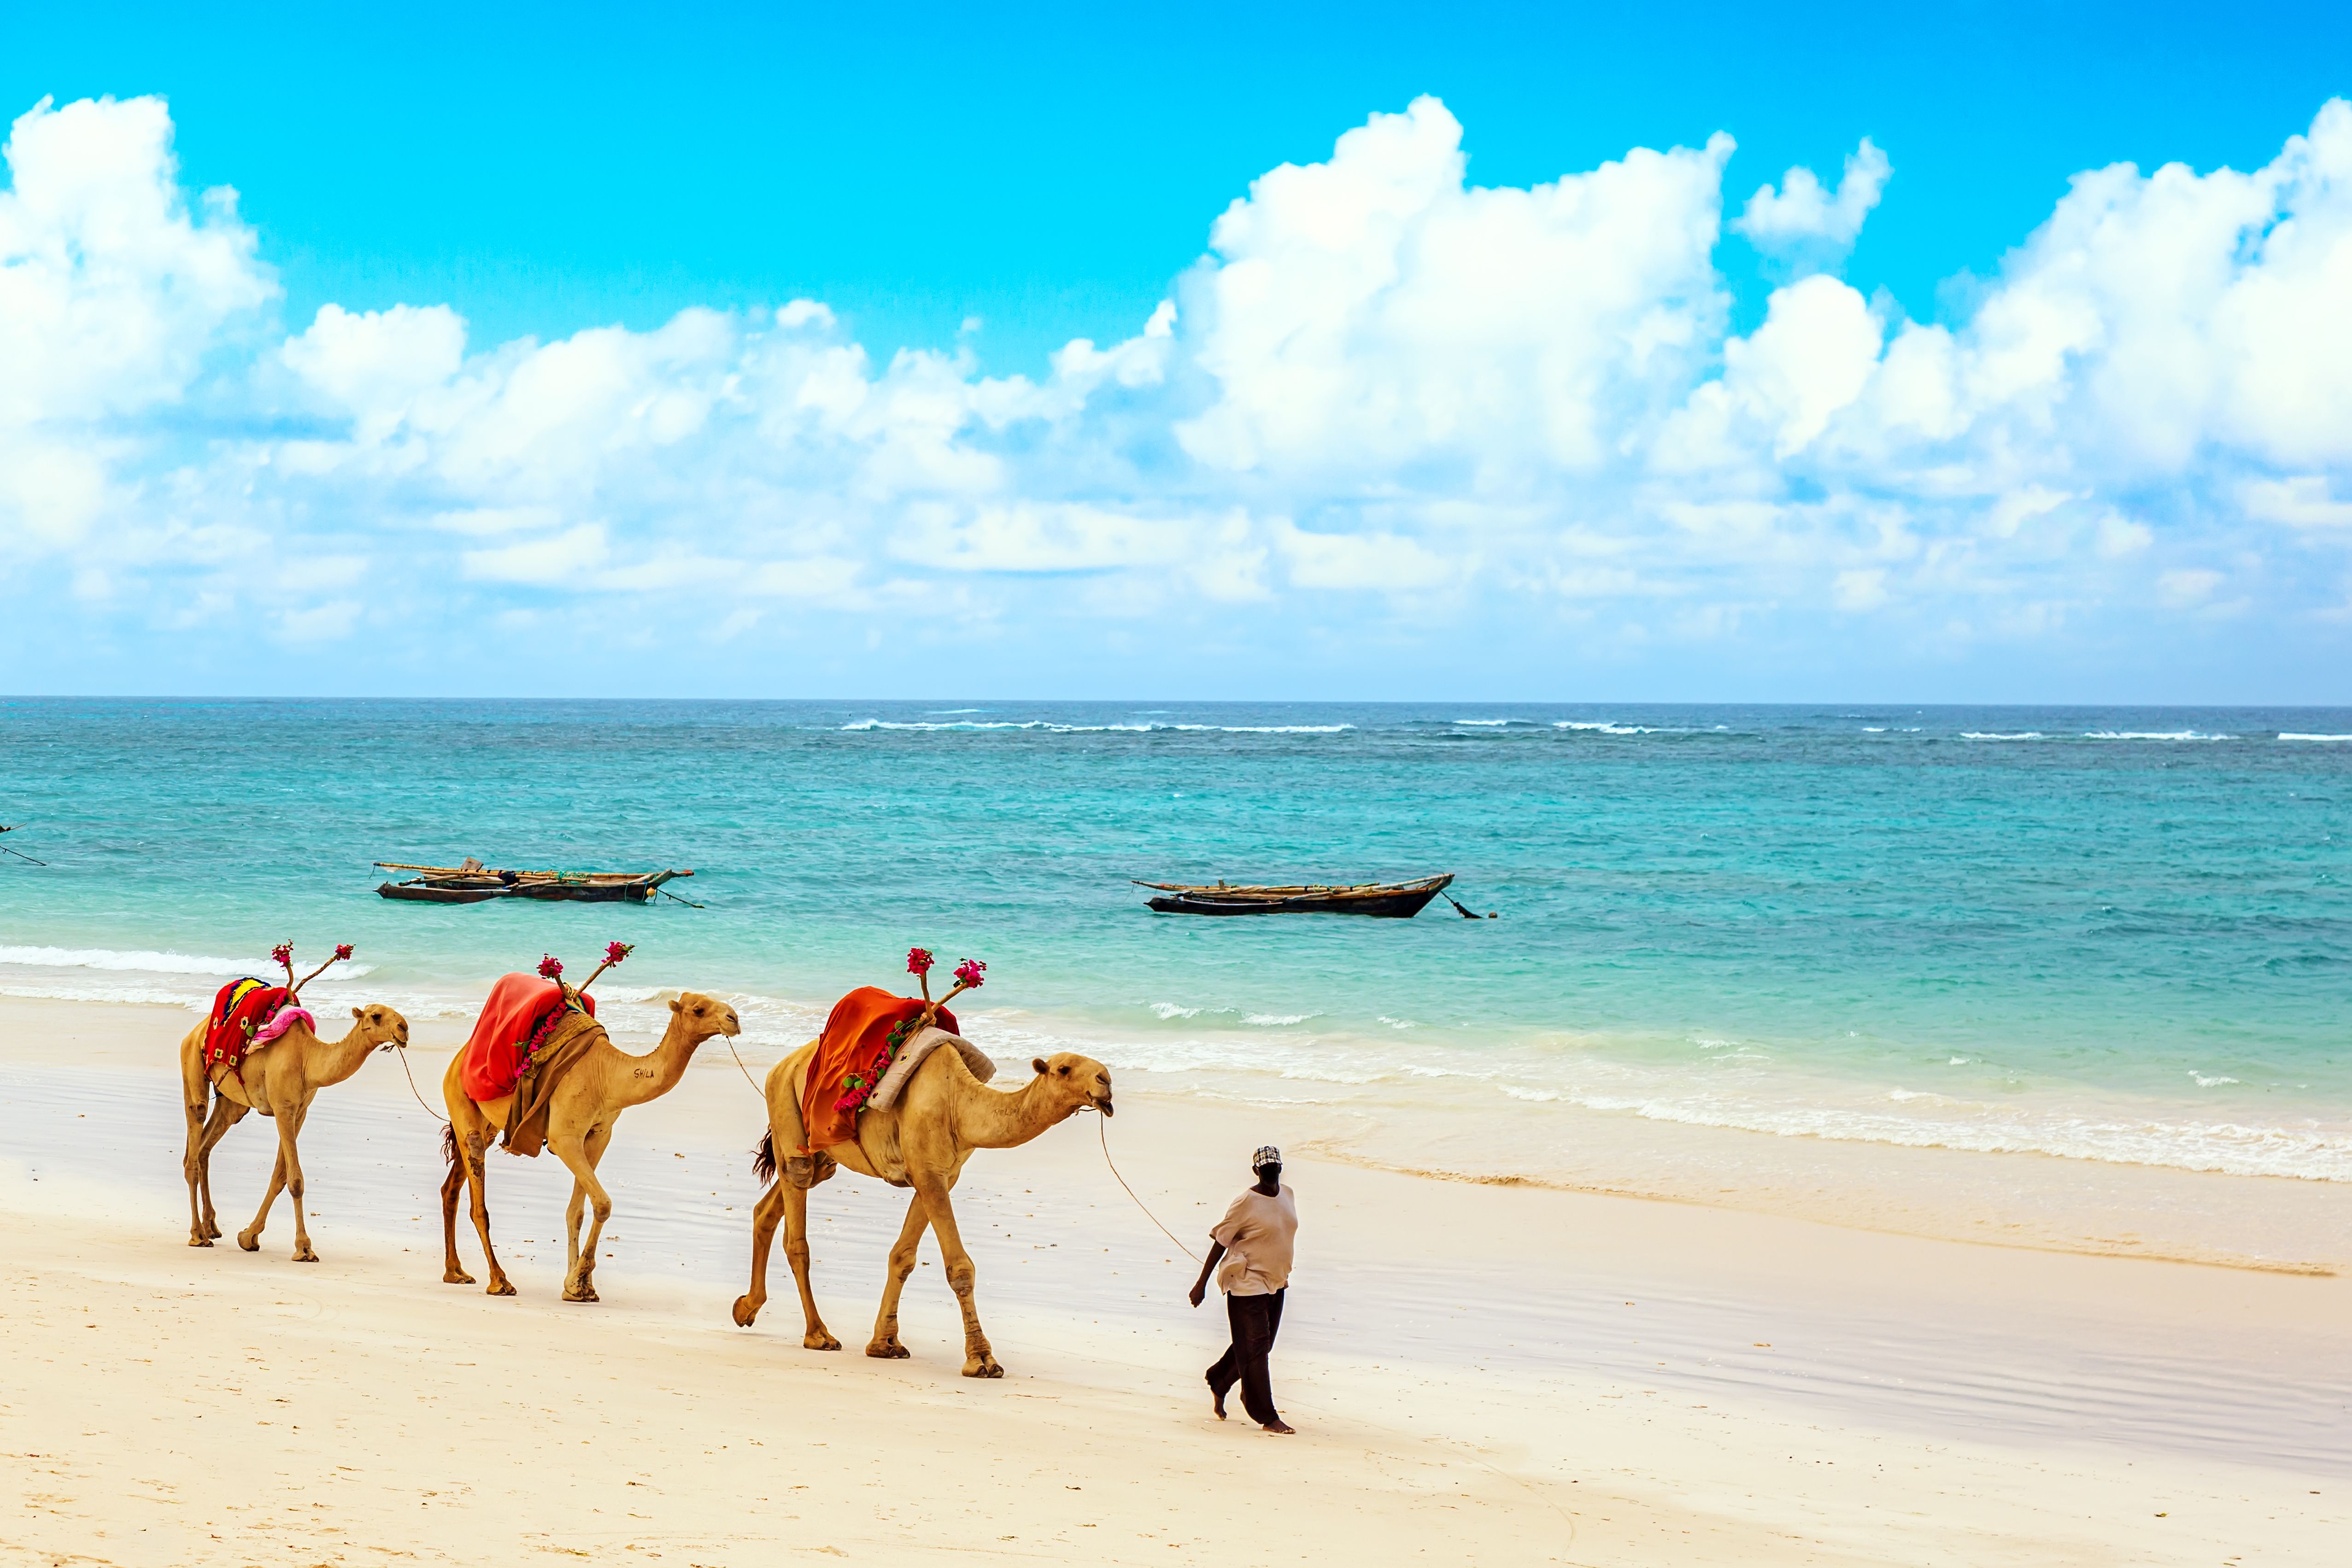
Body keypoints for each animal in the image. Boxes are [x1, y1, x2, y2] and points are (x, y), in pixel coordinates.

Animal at [177, 1003, 413, 1261]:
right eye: (377, 1016)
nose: (404, 1029)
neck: (306, 1059)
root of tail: (194, 1034)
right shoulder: (283, 1109)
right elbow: (296, 1180)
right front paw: (304, 1248)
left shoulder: (299, 1112)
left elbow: (280, 1177)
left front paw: (248, 1237)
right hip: (192, 1067)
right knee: (195, 1135)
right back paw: (198, 1235)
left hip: (232, 1103)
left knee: (204, 1148)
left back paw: (211, 1227)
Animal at [439, 991, 741, 1301]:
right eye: (699, 1009)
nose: (734, 1019)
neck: (607, 1076)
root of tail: (458, 1060)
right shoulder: (565, 1138)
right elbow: (603, 1203)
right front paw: (578, 1281)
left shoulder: (598, 1136)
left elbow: (578, 1212)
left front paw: (579, 1288)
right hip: (462, 1102)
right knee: (478, 1202)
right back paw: (500, 1281)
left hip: (488, 1125)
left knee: (452, 1187)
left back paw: (455, 1273)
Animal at [731, 1041, 1114, 1378]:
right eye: (1064, 1069)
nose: (1106, 1081)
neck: (959, 1104)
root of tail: (783, 1065)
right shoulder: (928, 1173)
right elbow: (960, 1268)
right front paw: (981, 1359)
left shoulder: (940, 1174)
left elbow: (903, 1256)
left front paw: (884, 1343)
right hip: (785, 1107)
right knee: (797, 1219)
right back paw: (818, 1334)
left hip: (823, 1153)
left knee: (772, 1204)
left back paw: (746, 1307)